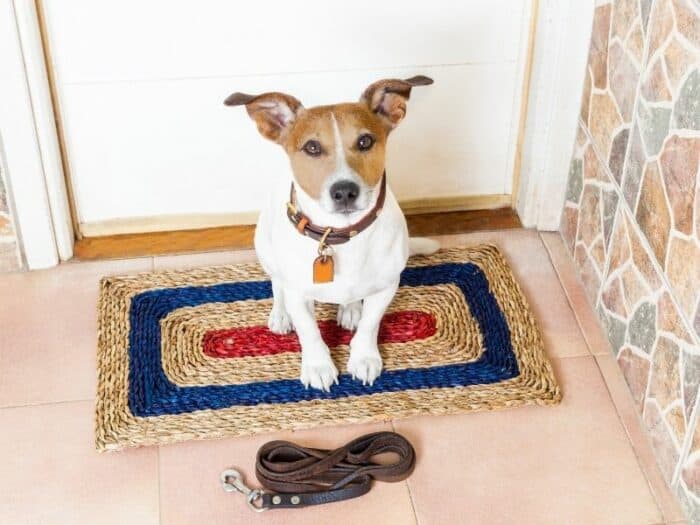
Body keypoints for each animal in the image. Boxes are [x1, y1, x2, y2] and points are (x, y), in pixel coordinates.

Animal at [226, 77, 438, 388]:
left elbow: (370, 325)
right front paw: (318, 366)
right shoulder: (299, 294)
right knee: (277, 284)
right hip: (265, 248)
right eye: (312, 147)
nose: (344, 191)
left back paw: (350, 309)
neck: (339, 234)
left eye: (365, 141)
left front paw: (364, 357)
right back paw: (280, 314)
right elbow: (310, 332)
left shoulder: (386, 287)